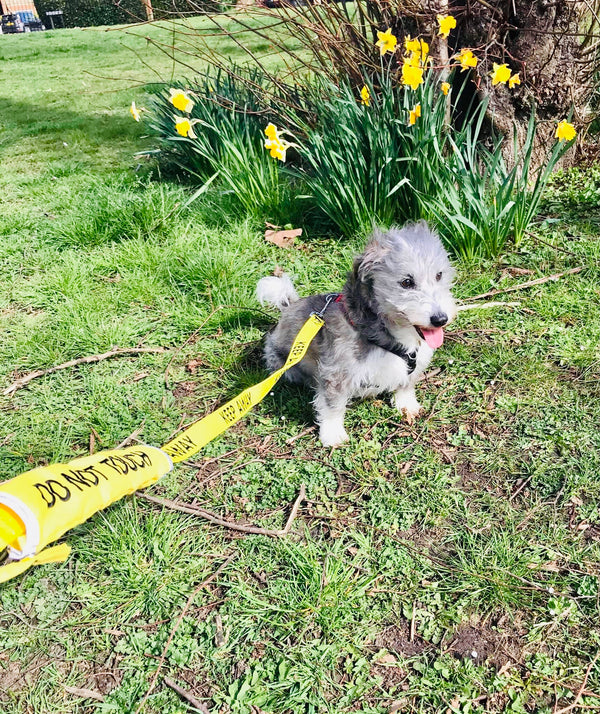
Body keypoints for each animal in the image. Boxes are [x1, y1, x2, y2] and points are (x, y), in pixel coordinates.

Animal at [255, 222, 458, 444]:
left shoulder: (414, 363)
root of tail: (288, 307)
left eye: (439, 275)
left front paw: (407, 405)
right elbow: (333, 405)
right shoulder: (336, 372)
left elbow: (406, 384)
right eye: (406, 282)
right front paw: (333, 433)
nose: (440, 319)